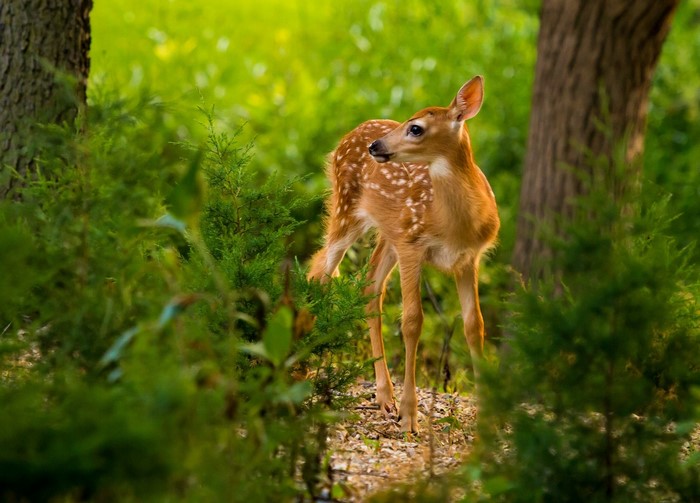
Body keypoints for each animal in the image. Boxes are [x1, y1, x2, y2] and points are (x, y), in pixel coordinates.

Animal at [308, 76, 499, 432]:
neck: (454, 224)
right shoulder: (413, 246)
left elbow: (474, 325)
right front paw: (410, 416)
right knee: (320, 272)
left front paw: (487, 416)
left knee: (369, 286)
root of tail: (352, 133)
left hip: (389, 233)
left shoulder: (469, 259)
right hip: (346, 209)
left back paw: (385, 396)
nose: (376, 147)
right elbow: (412, 321)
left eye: (416, 128)